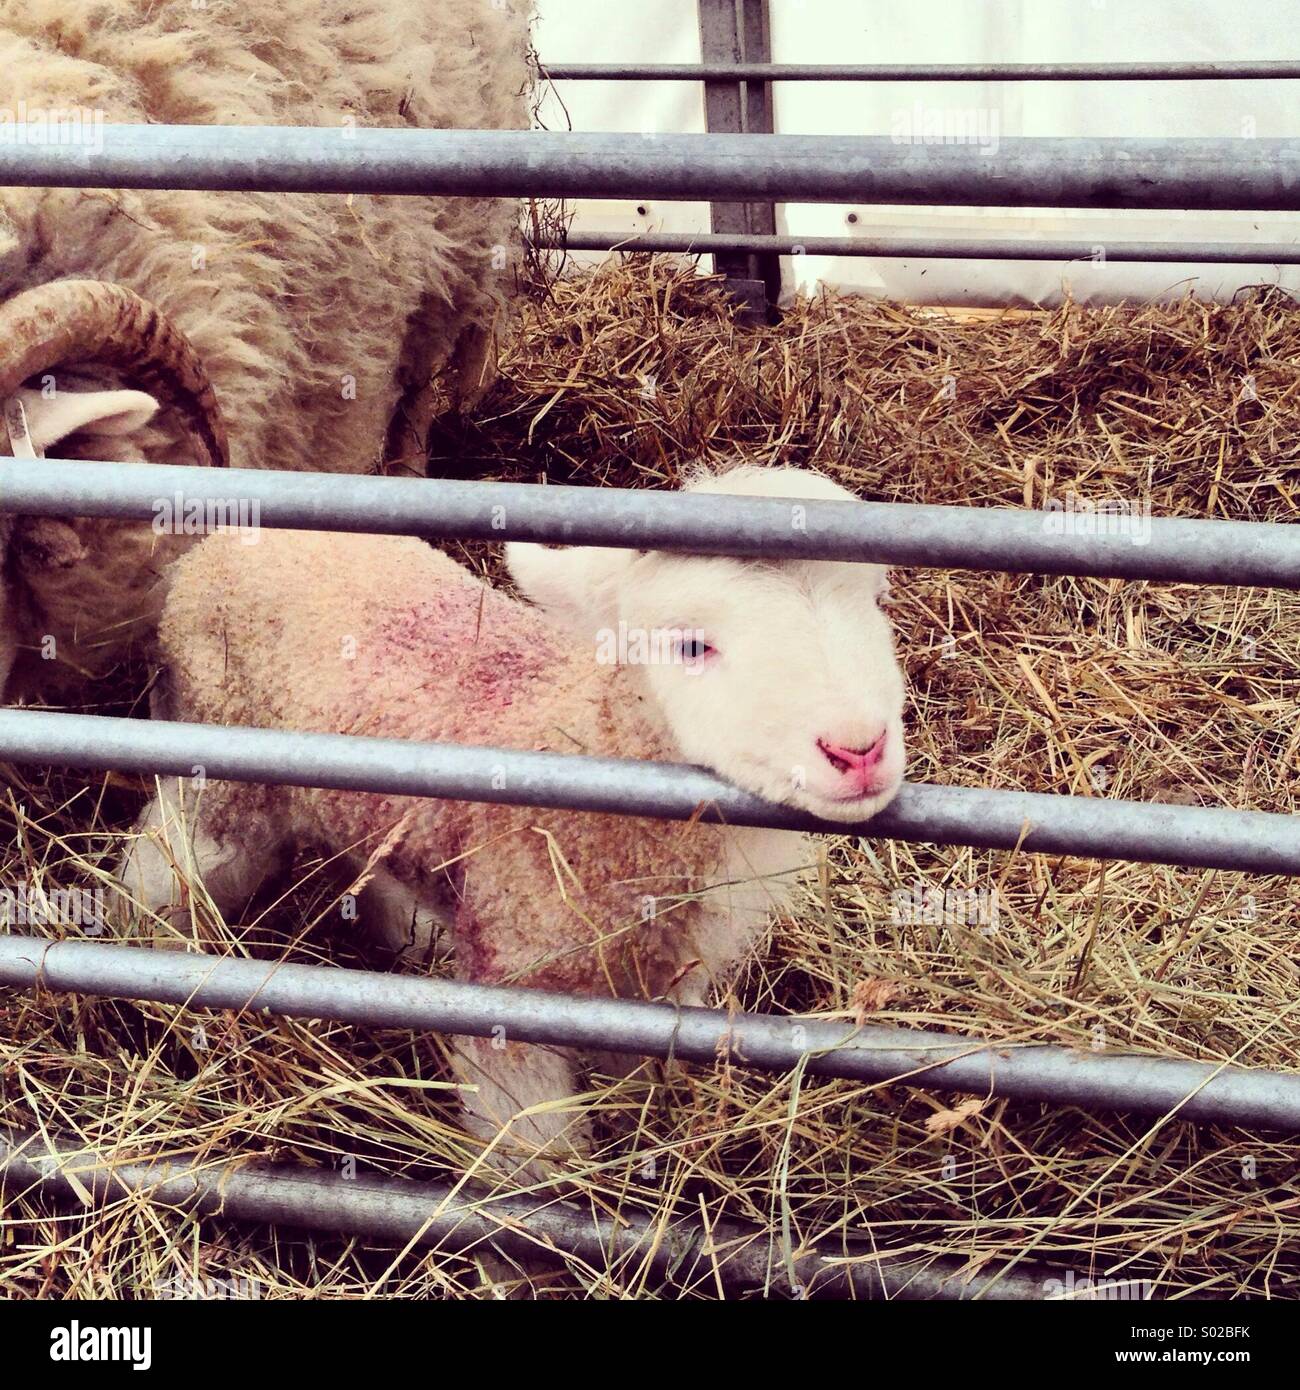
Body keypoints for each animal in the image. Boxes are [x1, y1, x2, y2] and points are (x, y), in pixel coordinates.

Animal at [120, 465, 908, 1168]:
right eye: (690, 644)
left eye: (875, 603)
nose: (858, 748)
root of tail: (224, 542)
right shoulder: (512, 994)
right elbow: (533, 1150)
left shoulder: (655, 991)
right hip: (221, 764)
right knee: (167, 864)